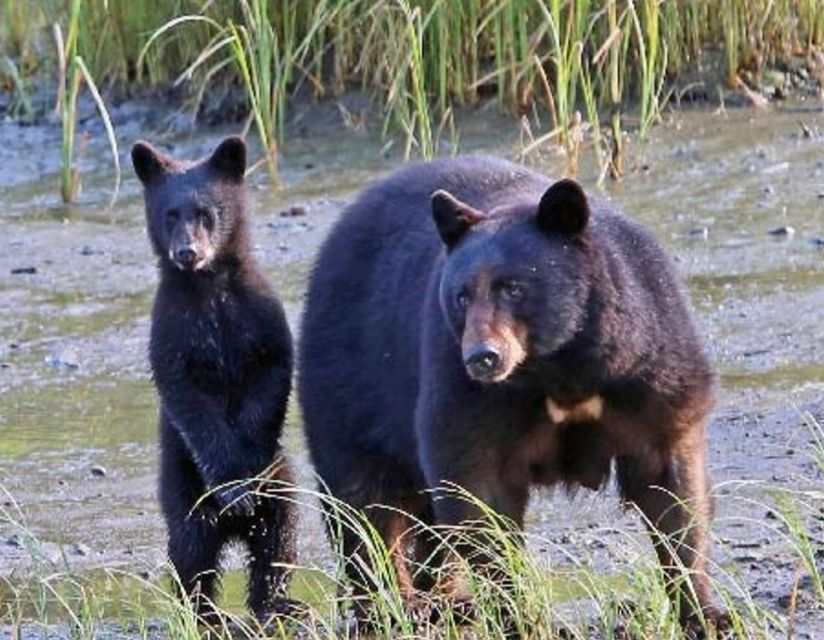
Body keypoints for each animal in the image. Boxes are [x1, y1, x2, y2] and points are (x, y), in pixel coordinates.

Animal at [135, 138, 300, 624]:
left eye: (206, 211)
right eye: (170, 214)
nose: (188, 252)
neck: (209, 290)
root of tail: (234, 529)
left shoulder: (259, 318)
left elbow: (271, 377)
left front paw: (245, 476)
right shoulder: (172, 333)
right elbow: (189, 401)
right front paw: (233, 484)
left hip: (282, 479)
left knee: (278, 540)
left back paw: (276, 605)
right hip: (181, 488)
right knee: (192, 553)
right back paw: (206, 612)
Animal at [300, 156, 724, 636]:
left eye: (514, 286)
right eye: (461, 295)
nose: (482, 357)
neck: (561, 367)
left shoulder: (650, 368)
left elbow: (673, 488)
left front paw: (706, 612)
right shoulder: (463, 388)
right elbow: (476, 492)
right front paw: (520, 614)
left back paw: (446, 600)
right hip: (349, 383)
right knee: (362, 503)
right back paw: (393, 606)